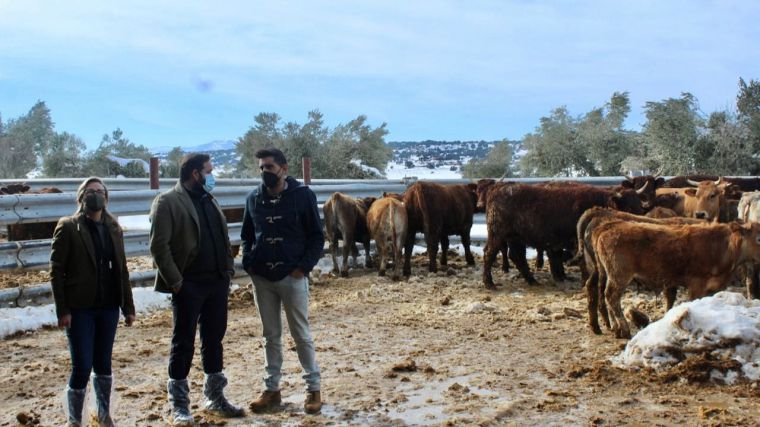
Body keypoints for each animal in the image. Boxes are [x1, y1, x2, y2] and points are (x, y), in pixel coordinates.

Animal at [596, 222, 760, 340]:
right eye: (758, 238)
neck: (722, 248)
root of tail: (609, 228)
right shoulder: (696, 285)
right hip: (619, 276)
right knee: (611, 297)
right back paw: (624, 329)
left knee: (607, 297)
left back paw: (616, 329)